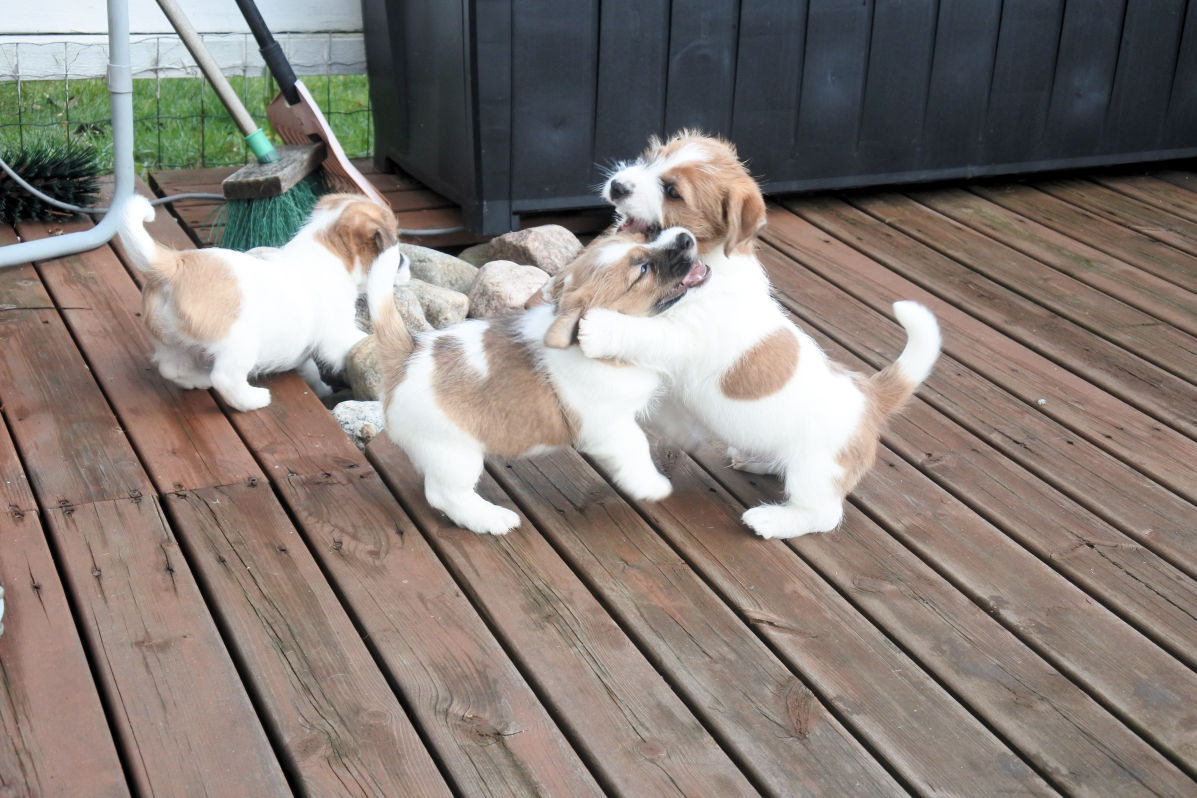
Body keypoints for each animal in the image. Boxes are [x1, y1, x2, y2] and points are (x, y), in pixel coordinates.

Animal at [119, 192, 398, 411]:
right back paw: (253, 400)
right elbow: (356, 341)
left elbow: (311, 371)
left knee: (171, 368)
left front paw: (323, 390)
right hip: (238, 344)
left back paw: (198, 380)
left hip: (169, 341)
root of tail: (174, 265)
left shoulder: (305, 352)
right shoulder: (338, 336)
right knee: (224, 378)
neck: (327, 252)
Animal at [367, 226, 710, 535]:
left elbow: (675, 416)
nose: (684, 237)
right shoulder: (608, 426)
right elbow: (636, 445)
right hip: (455, 454)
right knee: (445, 494)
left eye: (645, 236)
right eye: (642, 270)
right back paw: (491, 519)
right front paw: (652, 486)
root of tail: (407, 354)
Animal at [578, 131, 942, 539]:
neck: (709, 265)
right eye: (650, 158)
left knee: (823, 513)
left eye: (672, 191)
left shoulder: (683, 337)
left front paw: (600, 327)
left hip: (816, 470)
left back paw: (771, 520)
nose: (617, 185)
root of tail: (871, 397)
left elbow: (644, 332)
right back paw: (755, 460)